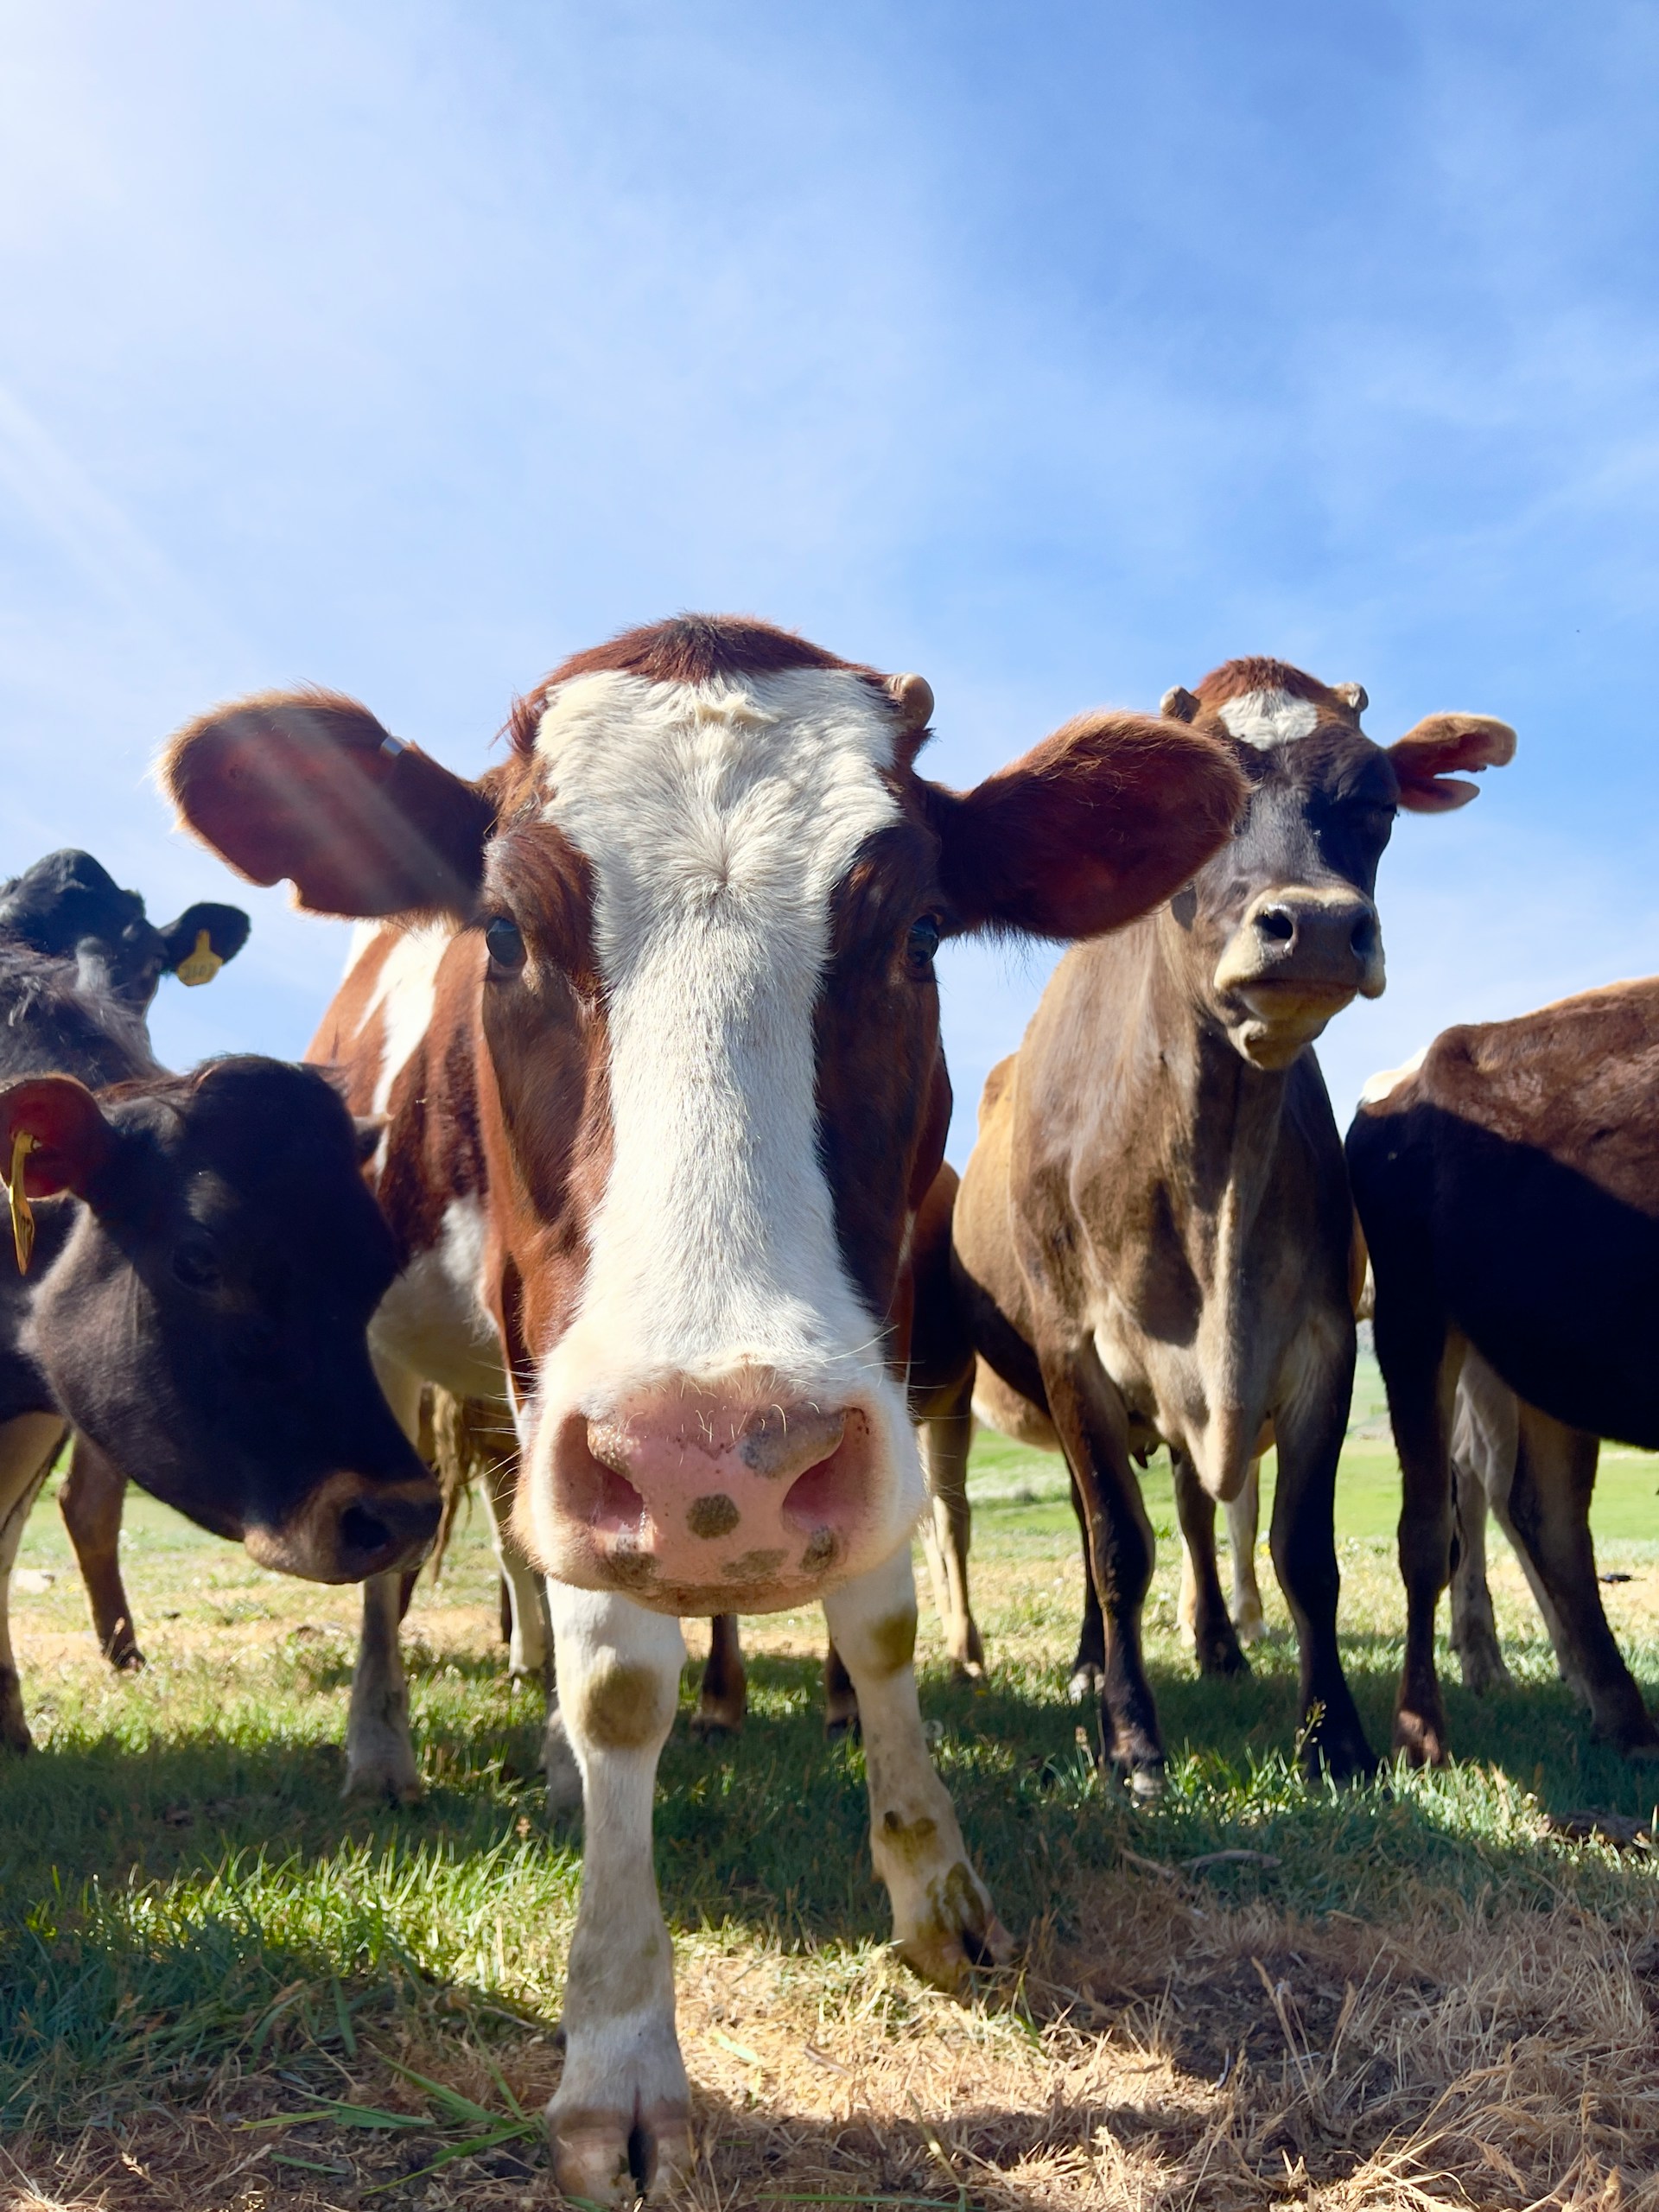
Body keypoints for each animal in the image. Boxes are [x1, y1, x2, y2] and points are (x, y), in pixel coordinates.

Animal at [161, 613, 1247, 2204]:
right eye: (505, 933)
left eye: (919, 931)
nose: (714, 1462)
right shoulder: (561, 1386)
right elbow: (617, 1676)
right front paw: (617, 2053)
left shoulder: (878, 1346)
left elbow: (879, 1620)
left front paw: (936, 1890)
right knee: (402, 1563)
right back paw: (385, 1746)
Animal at [950, 658, 1515, 1798]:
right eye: (1191, 812)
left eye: (1375, 805)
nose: (1318, 923)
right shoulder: (1072, 1349)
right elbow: (1117, 1548)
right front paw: (1132, 1741)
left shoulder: (1320, 1339)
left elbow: (1305, 1551)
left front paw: (1335, 1737)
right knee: (1101, 1521)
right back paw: (1095, 1664)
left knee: (1199, 1511)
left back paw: (1215, 1640)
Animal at [1348, 978, 1659, 1763]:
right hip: (1416, 1320)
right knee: (1431, 1530)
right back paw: (1421, 1729)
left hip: (1552, 1348)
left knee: (1542, 1513)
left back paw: (1620, 1715)